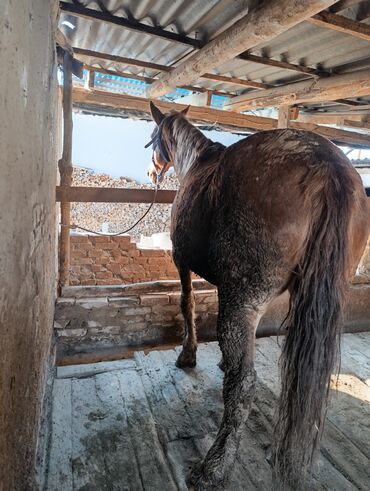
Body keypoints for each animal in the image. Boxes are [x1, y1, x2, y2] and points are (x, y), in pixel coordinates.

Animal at [146, 102, 368, 490]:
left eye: (153, 138)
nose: (150, 170)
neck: (199, 163)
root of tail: (330, 170)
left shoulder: (181, 262)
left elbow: (187, 304)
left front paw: (188, 355)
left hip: (242, 301)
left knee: (244, 384)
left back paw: (214, 466)